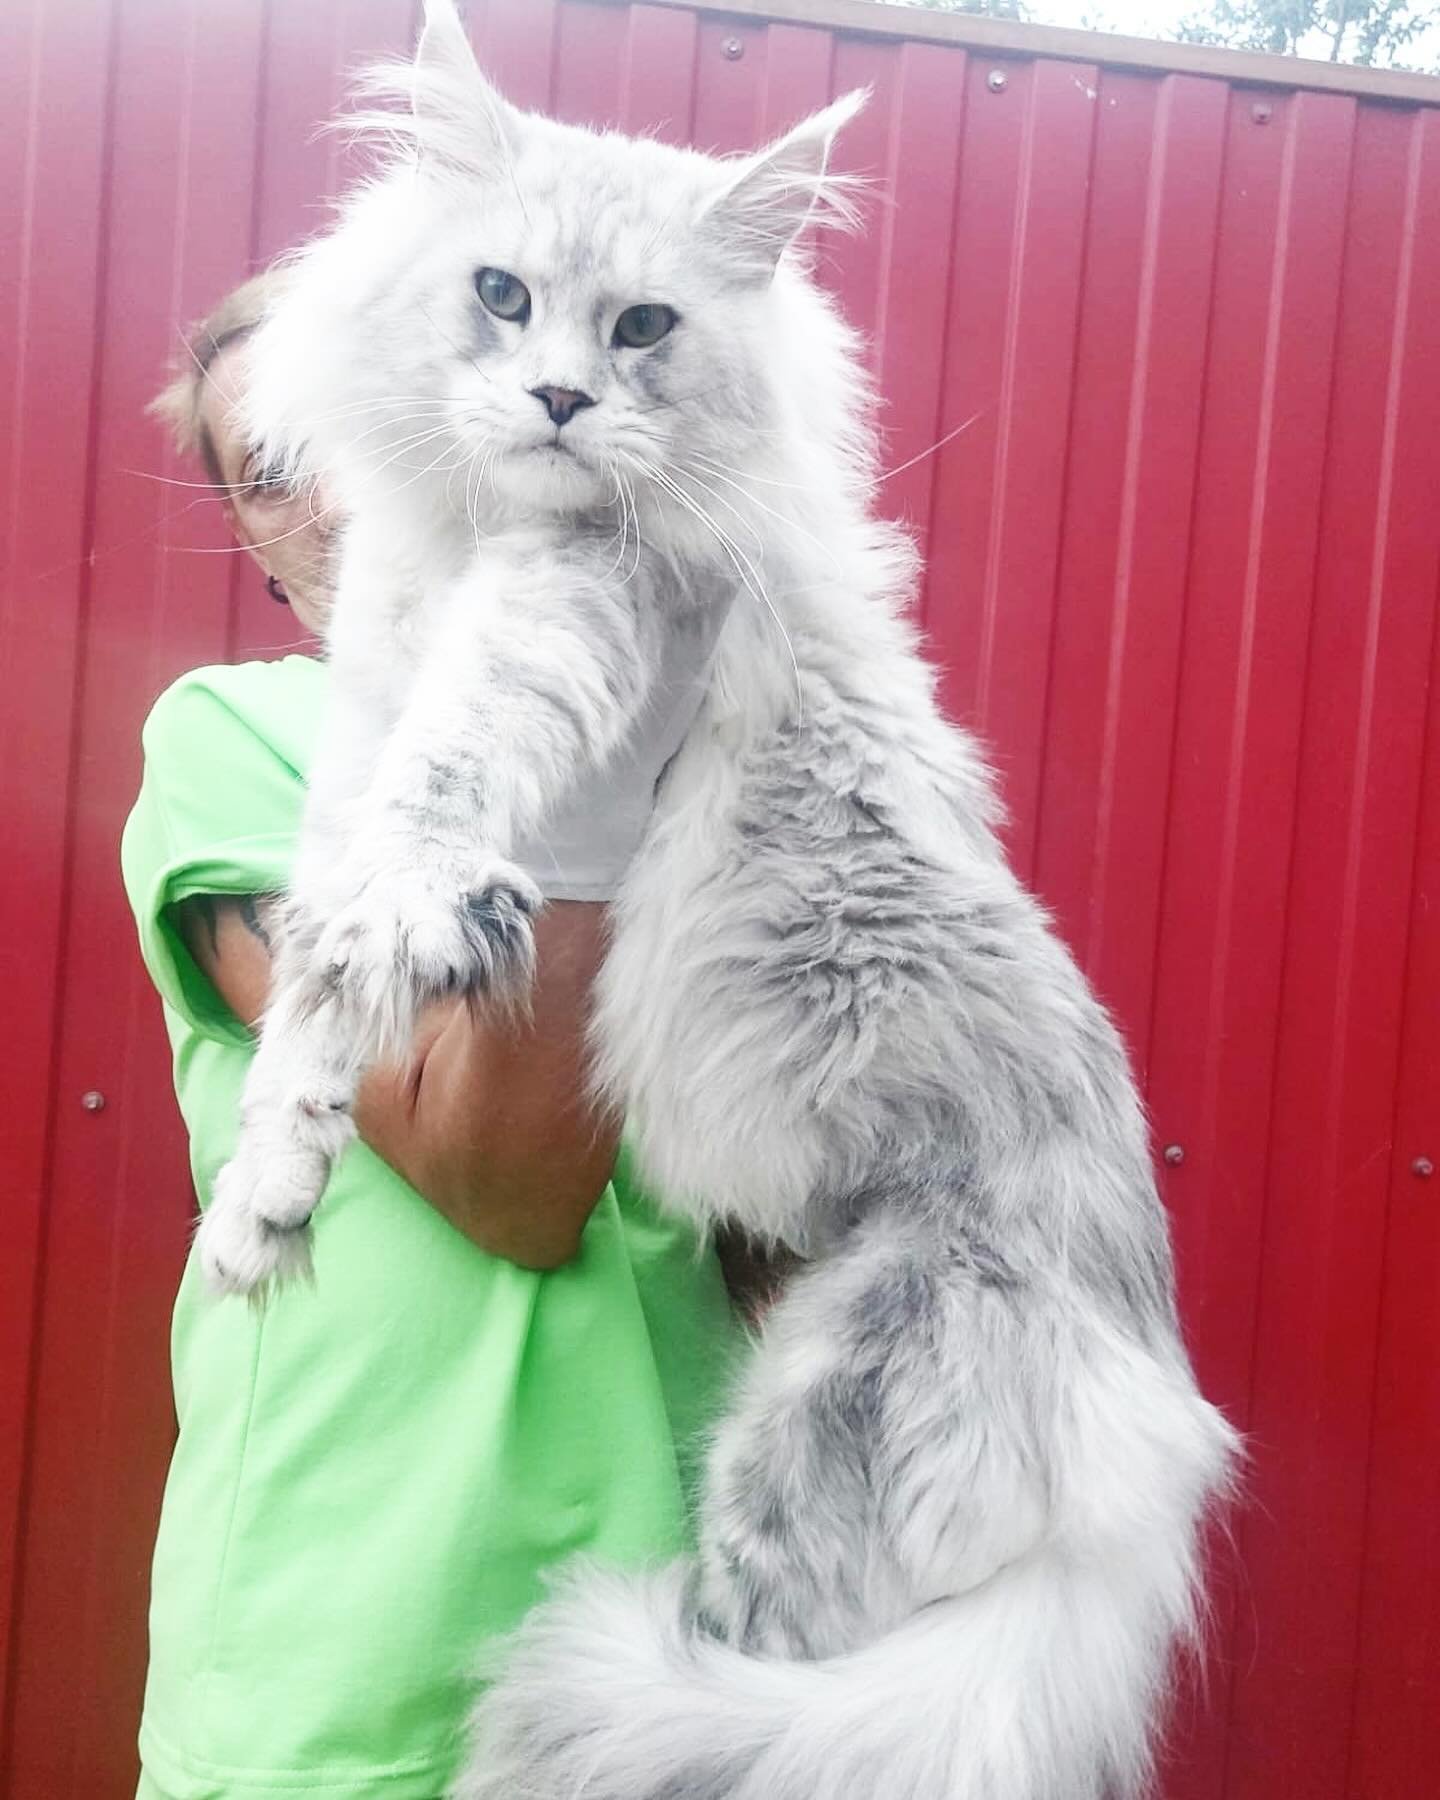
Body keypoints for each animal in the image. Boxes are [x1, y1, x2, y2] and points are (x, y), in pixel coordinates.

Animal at [199, 7, 1238, 1792]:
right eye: (499, 294)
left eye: (643, 328)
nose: (558, 398)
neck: (476, 534)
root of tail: (1158, 1415)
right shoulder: (358, 734)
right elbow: (318, 1012)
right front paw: (266, 1199)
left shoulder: (577, 606)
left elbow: (439, 795)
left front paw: (424, 905)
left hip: (797, 1489)